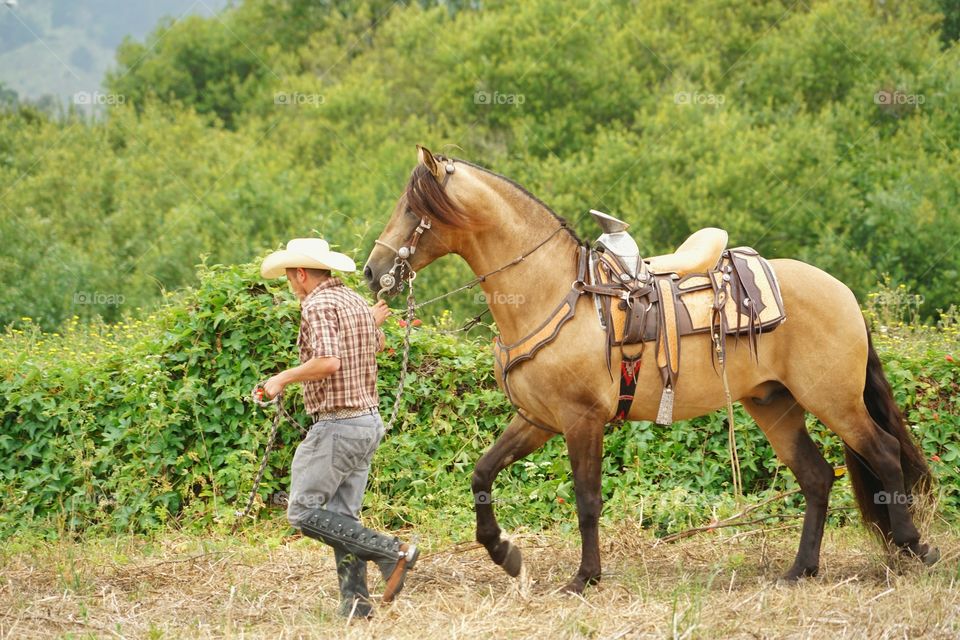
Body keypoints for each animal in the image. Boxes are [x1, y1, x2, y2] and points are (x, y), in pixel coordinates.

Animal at [364, 146, 940, 596]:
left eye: (413, 207)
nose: (373, 271)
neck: (557, 294)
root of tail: (843, 292)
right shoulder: (538, 420)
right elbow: (482, 473)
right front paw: (503, 551)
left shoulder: (581, 420)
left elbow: (587, 499)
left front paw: (584, 578)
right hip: (775, 404)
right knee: (818, 477)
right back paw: (801, 569)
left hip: (834, 400)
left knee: (884, 455)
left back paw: (912, 547)